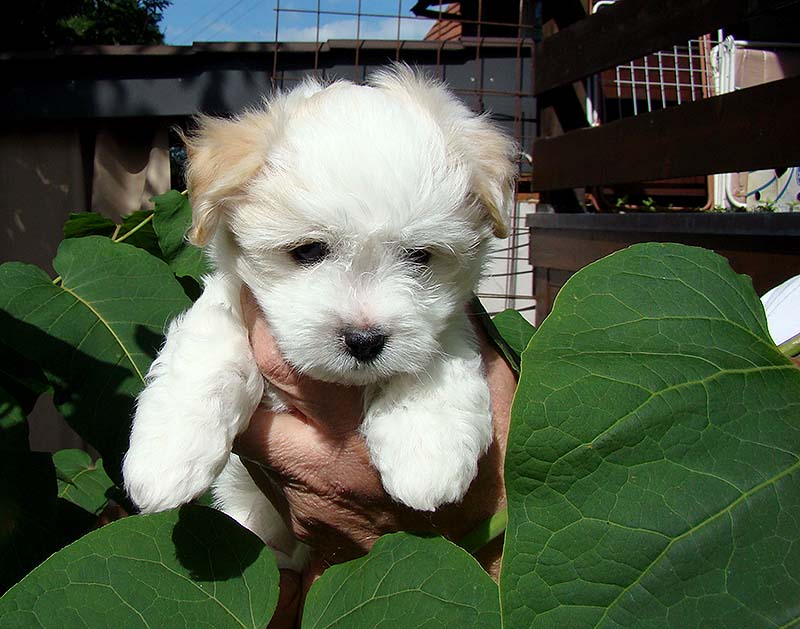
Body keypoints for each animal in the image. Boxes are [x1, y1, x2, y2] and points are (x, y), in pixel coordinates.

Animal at [122, 66, 517, 569]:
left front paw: (425, 447)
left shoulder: (449, 315)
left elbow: (438, 348)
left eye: (420, 256)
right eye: (308, 251)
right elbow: (208, 348)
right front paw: (168, 454)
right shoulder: (233, 298)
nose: (364, 339)